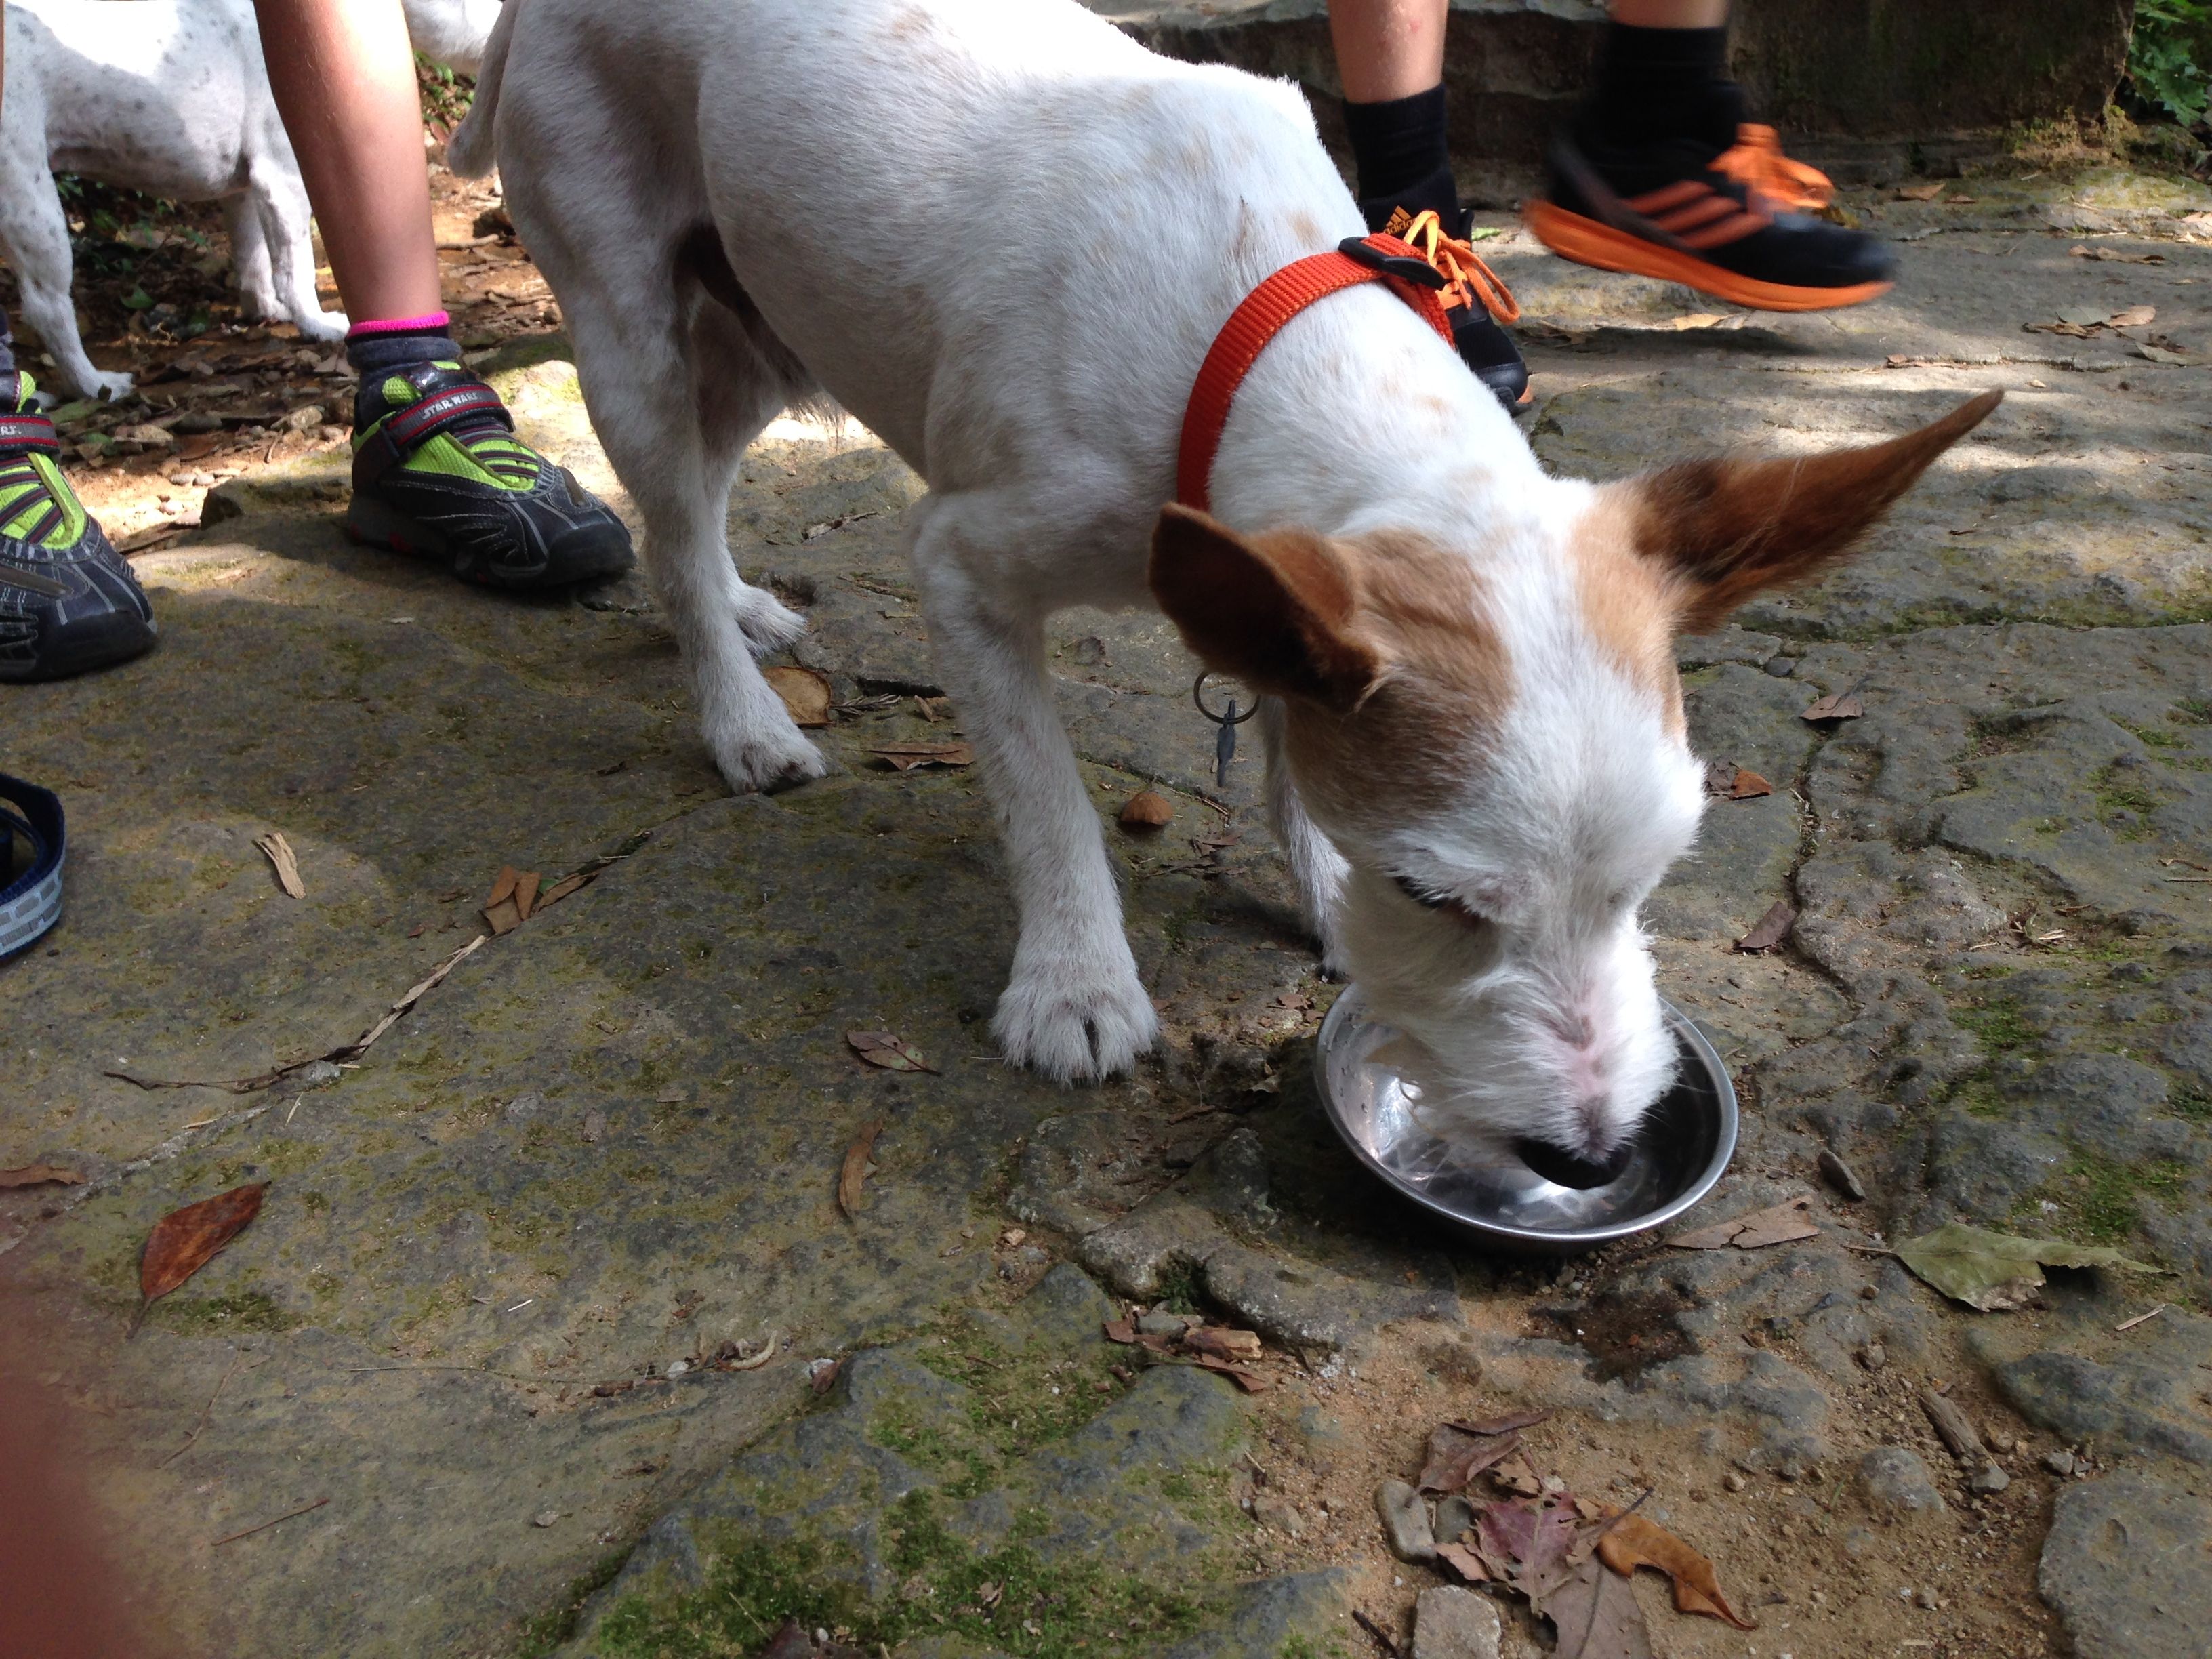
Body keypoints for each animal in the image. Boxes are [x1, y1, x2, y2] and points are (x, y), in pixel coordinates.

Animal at [0, 0, 500, 402]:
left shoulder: (244, 192)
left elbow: (255, 260)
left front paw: (268, 310)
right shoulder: (284, 179)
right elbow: (295, 269)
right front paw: (315, 324)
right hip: (35, 208)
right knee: (48, 309)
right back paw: (95, 384)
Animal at [451, 0, 1994, 1164]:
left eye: (1657, 880)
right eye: (1436, 897)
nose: (1590, 1151)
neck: (1249, 327)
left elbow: (1283, 741)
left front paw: (1308, 878)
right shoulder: (963, 564)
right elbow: (1049, 801)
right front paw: (1076, 979)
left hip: (776, 314)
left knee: (700, 495)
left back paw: (741, 604)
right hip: (627, 308)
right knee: (662, 495)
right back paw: (741, 713)